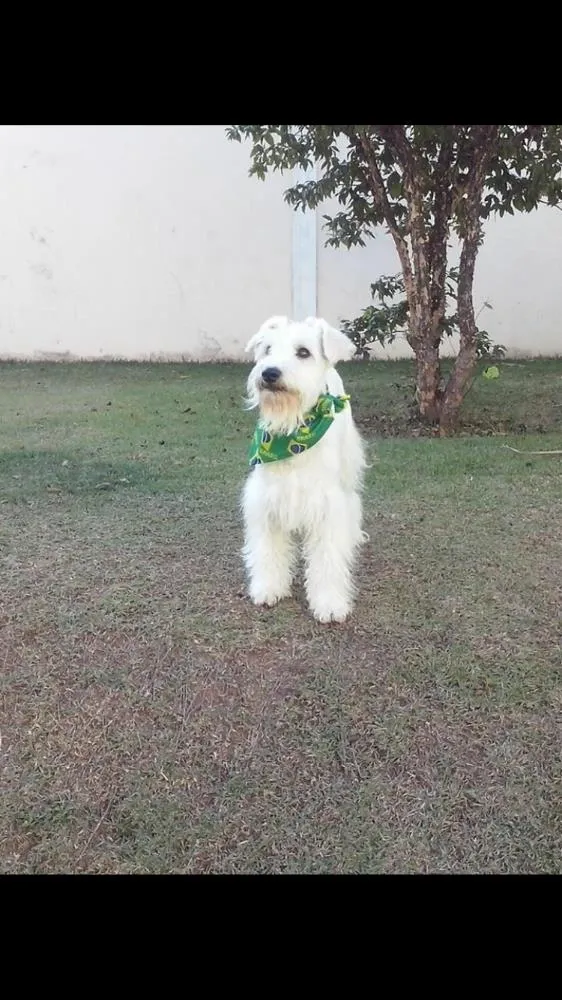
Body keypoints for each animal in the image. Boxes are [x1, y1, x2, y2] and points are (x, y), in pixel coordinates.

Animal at [240, 316, 364, 620]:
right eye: (267, 349)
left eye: (304, 352)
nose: (269, 373)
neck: (293, 433)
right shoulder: (266, 500)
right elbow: (268, 549)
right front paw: (269, 588)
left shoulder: (328, 506)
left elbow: (328, 557)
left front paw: (329, 603)